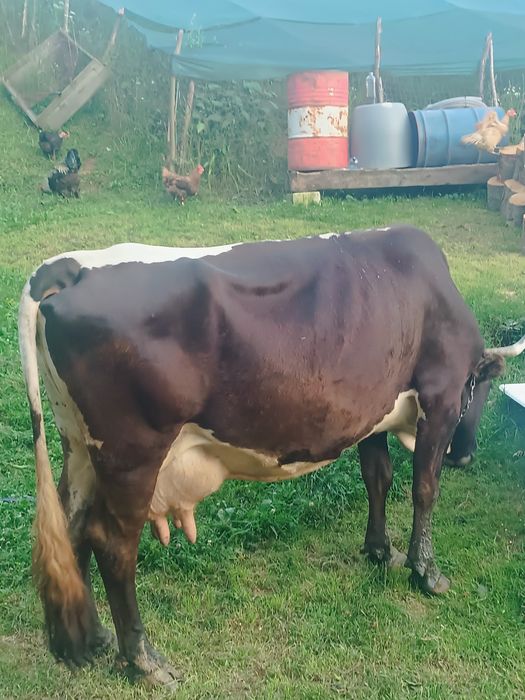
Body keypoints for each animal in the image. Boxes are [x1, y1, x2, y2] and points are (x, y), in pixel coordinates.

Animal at [19, 226, 525, 688]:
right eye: (482, 386)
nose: (466, 457)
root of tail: (71, 267)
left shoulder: (370, 412)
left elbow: (377, 478)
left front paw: (380, 550)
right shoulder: (441, 396)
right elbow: (424, 489)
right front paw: (427, 572)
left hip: (80, 446)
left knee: (73, 526)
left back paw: (92, 640)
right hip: (132, 452)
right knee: (112, 543)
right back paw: (145, 661)